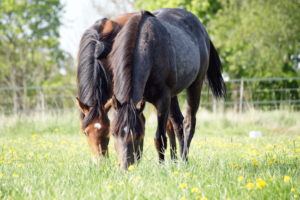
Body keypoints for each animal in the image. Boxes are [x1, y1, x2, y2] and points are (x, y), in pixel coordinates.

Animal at [109, 8, 226, 170]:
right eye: (114, 133)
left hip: (195, 85)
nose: (125, 169)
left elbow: (160, 138)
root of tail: (203, 30)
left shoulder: (162, 99)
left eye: (136, 135)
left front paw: (161, 167)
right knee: (178, 124)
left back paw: (184, 161)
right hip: (173, 95)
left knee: (188, 123)